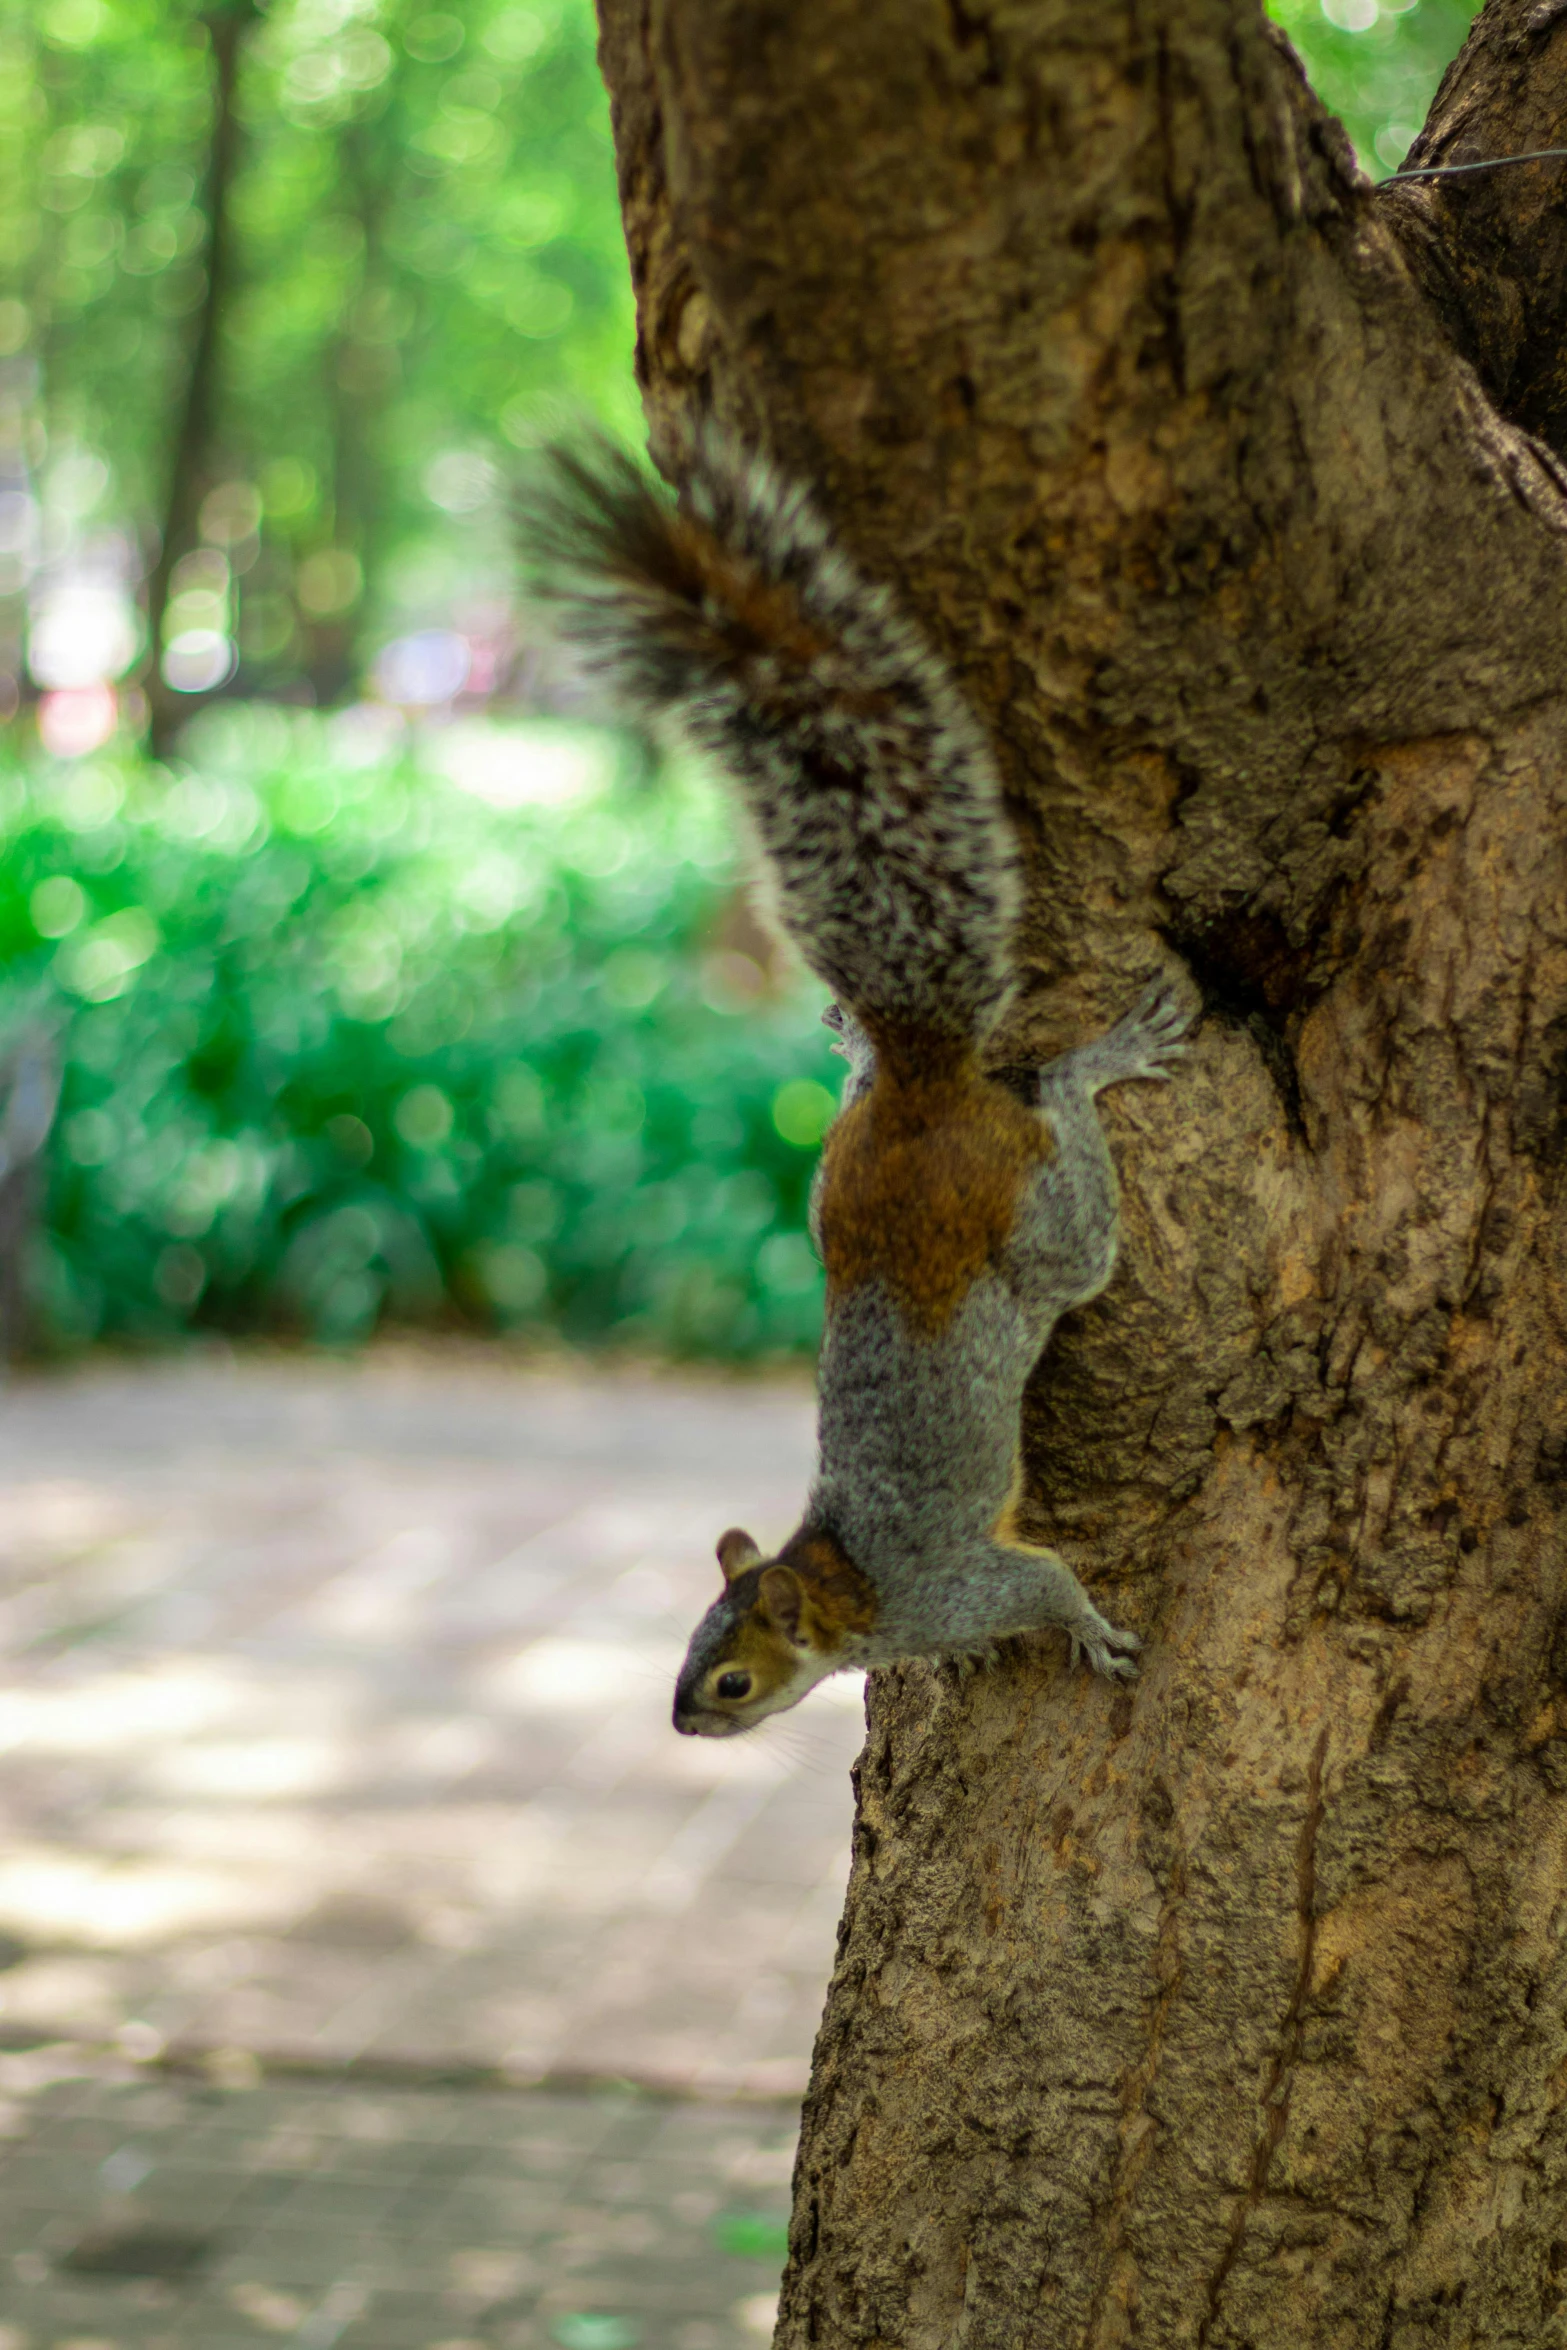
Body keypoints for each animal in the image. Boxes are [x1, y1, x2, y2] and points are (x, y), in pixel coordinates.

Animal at [533, 432, 1193, 1738]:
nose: (682, 1723)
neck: (842, 1587)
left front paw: (1090, 1634)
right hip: (827, 1194)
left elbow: (1046, 1583)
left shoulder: (959, 1581)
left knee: (1070, 1166)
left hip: (1041, 1229)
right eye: (687, 1650)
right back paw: (853, 1056)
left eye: (731, 1678)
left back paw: (1097, 1061)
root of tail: (926, 1092)